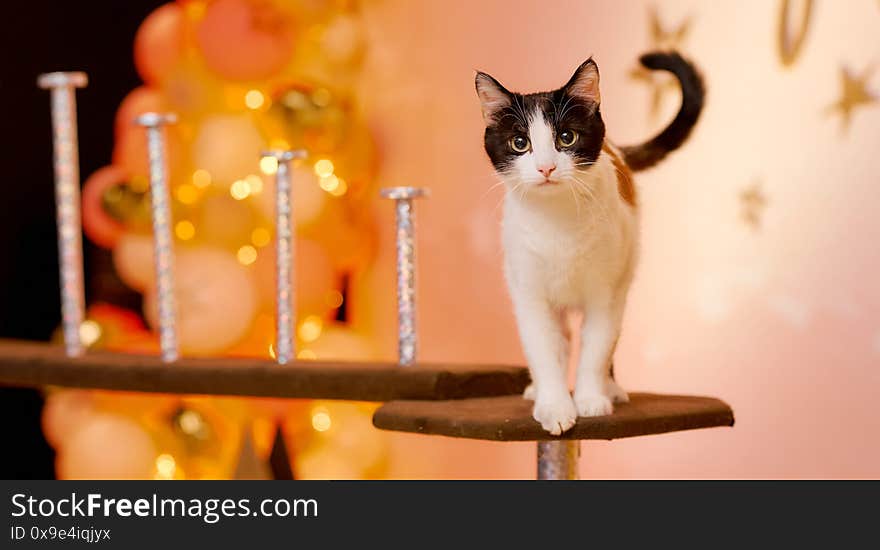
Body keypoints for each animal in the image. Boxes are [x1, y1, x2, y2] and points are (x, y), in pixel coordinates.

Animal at [478, 50, 704, 436]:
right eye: (520, 144)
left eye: (567, 138)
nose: (546, 168)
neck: (558, 223)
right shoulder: (529, 292)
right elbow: (543, 347)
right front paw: (554, 404)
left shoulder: (606, 293)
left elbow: (597, 346)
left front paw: (590, 398)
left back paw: (610, 387)